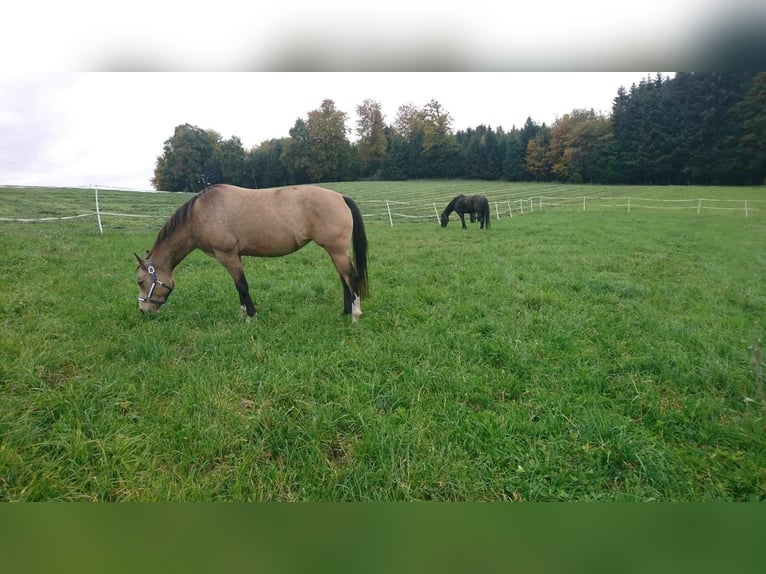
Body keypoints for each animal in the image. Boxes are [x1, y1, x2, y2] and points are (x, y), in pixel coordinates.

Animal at [136, 184, 370, 322]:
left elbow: (242, 285)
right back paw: (345, 312)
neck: (200, 213)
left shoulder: (227, 255)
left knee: (351, 277)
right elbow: (239, 287)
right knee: (344, 279)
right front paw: (242, 313)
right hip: (335, 251)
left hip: (337, 250)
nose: (143, 311)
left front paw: (250, 316)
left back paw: (355, 315)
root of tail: (340, 197)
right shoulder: (234, 256)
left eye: (140, 281)